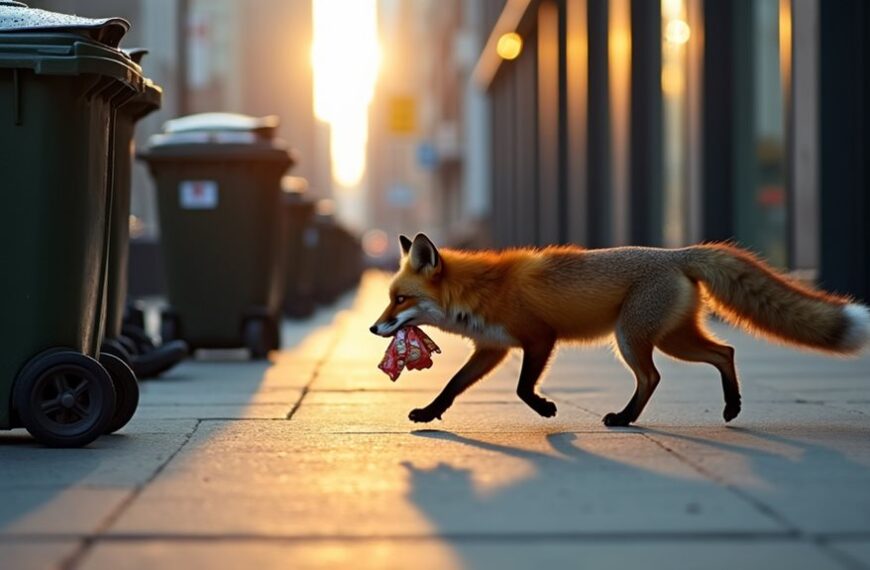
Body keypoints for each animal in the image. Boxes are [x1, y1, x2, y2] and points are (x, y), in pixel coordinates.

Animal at [370, 233, 870, 426]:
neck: (481, 290)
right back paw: (731, 407)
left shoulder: (539, 338)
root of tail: (678, 253)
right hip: (672, 338)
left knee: (653, 376)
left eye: (401, 299)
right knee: (725, 352)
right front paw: (429, 414)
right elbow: (452, 386)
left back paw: (626, 418)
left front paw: (546, 409)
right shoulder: (492, 349)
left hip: (633, 339)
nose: (375, 327)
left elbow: (522, 389)